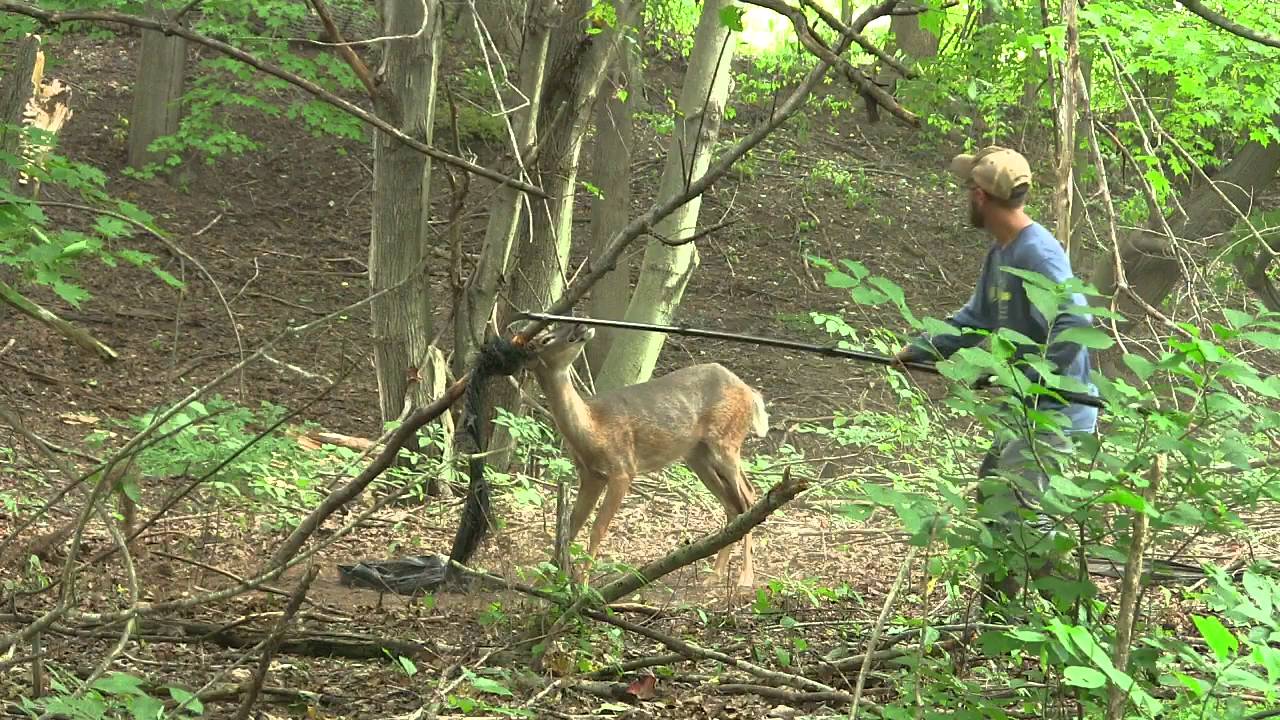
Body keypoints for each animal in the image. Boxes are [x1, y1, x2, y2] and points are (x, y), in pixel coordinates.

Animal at [523, 321, 770, 588]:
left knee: (748, 495)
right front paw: (542, 582)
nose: (579, 325)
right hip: (697, 455)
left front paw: (583, 585)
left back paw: (745, 578)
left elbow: (597, 529)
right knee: (733, 504)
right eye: (545, 339)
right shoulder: (591, 475)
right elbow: (570, 526)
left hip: (725, 442)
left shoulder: (623, 468)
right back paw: (714, 576)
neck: (592, 430)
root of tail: (750, 392)